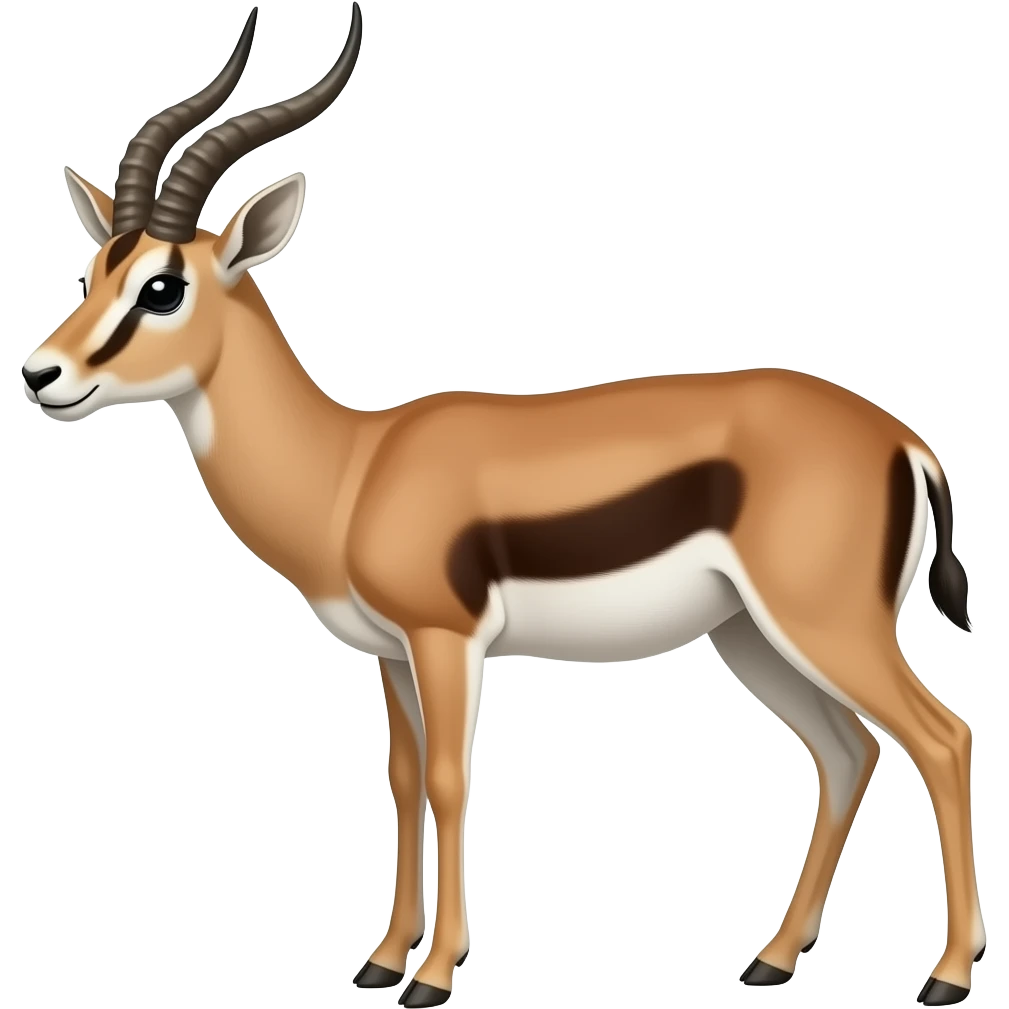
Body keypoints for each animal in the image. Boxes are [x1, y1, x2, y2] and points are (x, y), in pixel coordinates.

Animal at [20, 4, 981, 1006]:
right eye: (93, 268)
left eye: (162, 286)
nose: (43, 375)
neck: (351, 469)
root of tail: (904, 441)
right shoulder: (390, 653)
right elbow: (403, 781)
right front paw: (379, 959)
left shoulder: (446, 640)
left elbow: (450, 780)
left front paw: (434, 973)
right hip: (749, 634)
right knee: (847, 751)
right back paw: (771, 958)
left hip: (827, 624)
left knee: (941, 736)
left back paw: (946, 975)